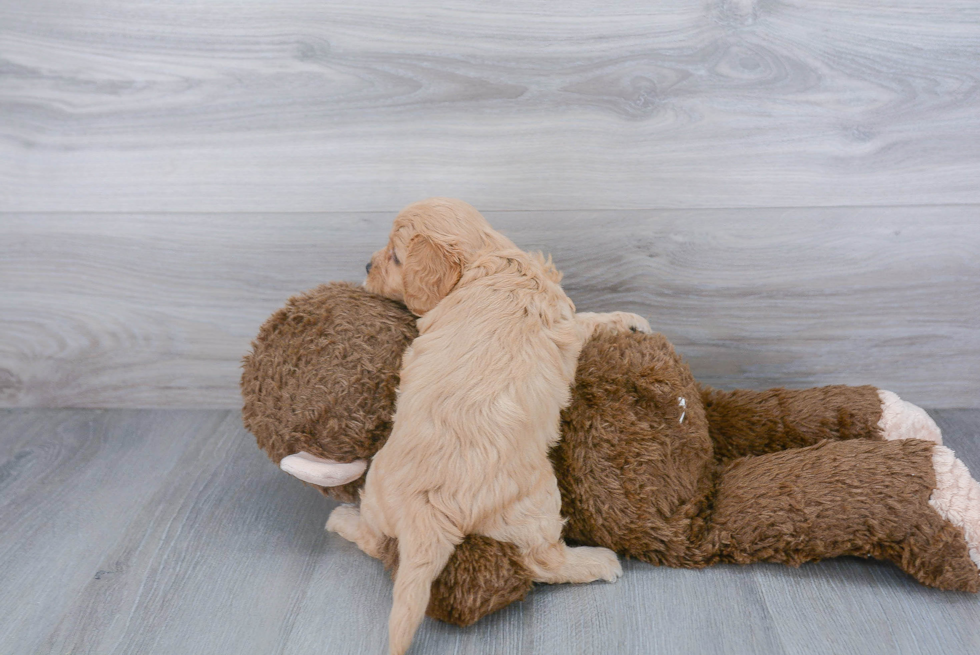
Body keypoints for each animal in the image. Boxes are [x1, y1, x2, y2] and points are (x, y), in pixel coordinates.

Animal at [328, 200, 652, 655]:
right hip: (537, 501)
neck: (487, 261)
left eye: (394, 256)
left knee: (376, 540)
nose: (366, 264)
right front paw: (624, 319)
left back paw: (342, 518)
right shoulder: (563, 318)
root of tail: (426, 512)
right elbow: (585, 320)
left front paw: (630, 321)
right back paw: (597, 561)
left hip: (377, 489)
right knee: (542, 562)